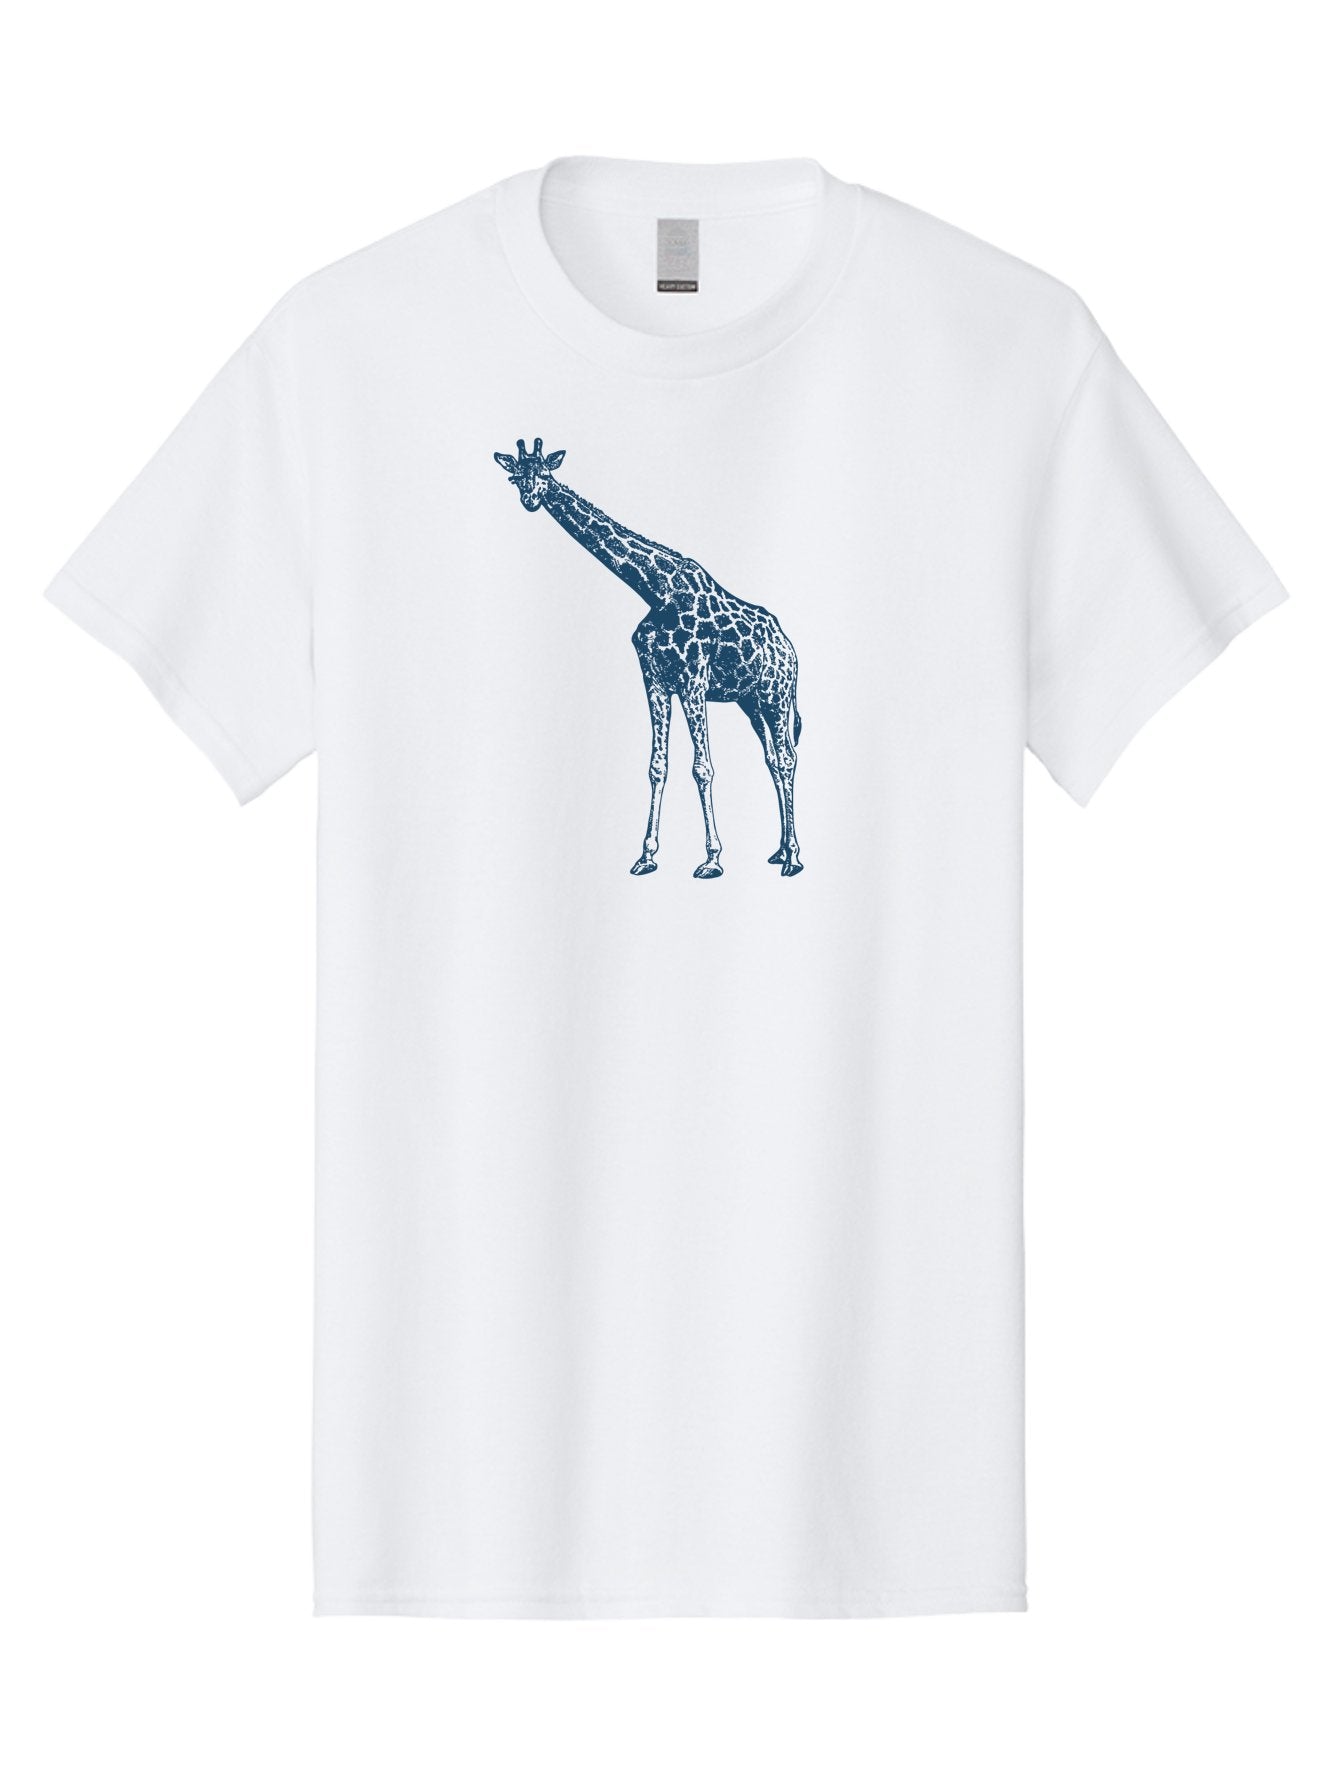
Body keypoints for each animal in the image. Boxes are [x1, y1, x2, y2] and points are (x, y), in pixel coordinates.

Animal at [493, 438, 804, 879]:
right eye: (515, 477)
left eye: (546, 474)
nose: (531, 500)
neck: (656, 591)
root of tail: (790, 648)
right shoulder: (655, 680)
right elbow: (658, 766)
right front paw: (646, 856)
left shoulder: (693, 680)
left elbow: (702, 767)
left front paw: (711, 859)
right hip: (751, 701)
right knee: (773, 760)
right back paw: (778, 850)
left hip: (776, 694)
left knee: (788, 758)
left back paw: (793, 857)